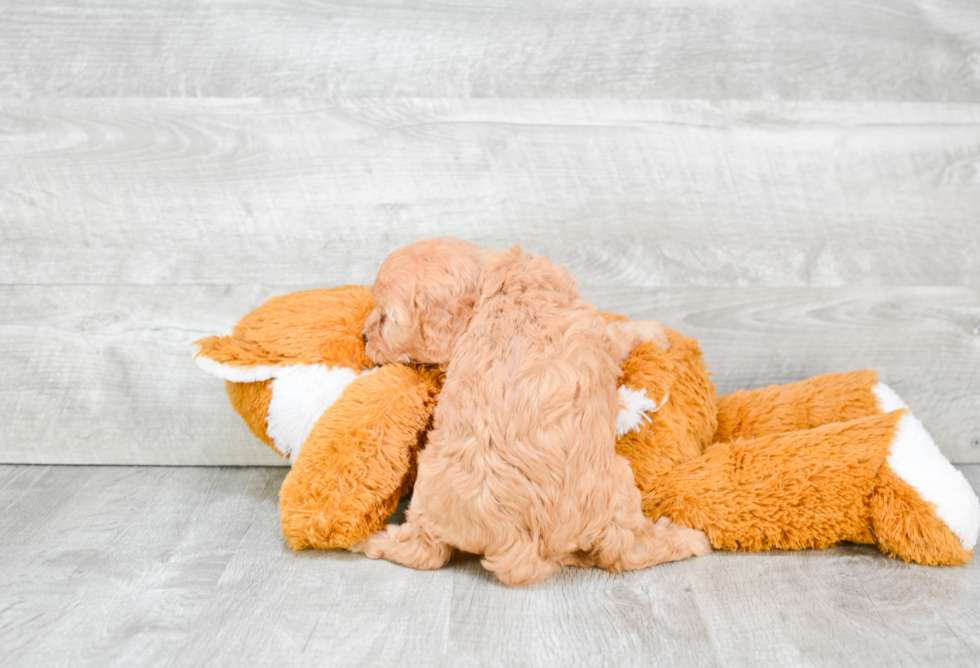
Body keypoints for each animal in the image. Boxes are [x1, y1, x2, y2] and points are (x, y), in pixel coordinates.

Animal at [356, 239, 708, 584]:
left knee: (422, 552)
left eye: (387, 318)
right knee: (628, 551)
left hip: (428, 496)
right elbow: (620, 334)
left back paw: (373, 540)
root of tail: (514, 542)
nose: (363, 336)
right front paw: (655, 332)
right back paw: (689, 539)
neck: (494, 278)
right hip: (615, 492)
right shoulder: (599, 336)